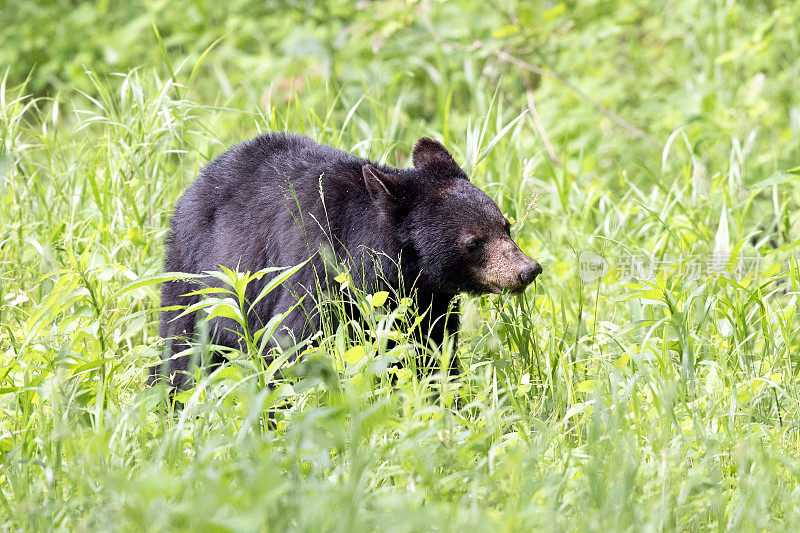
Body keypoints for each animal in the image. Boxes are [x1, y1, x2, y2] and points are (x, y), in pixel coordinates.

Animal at [153, 133, 540, 386]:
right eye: (473, 241)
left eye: (505, 225)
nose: (527, 270)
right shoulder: (318, 274)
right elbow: (290, 344)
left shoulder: (429, 301)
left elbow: (432, 352)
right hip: (193, 274)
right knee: (182, 348)